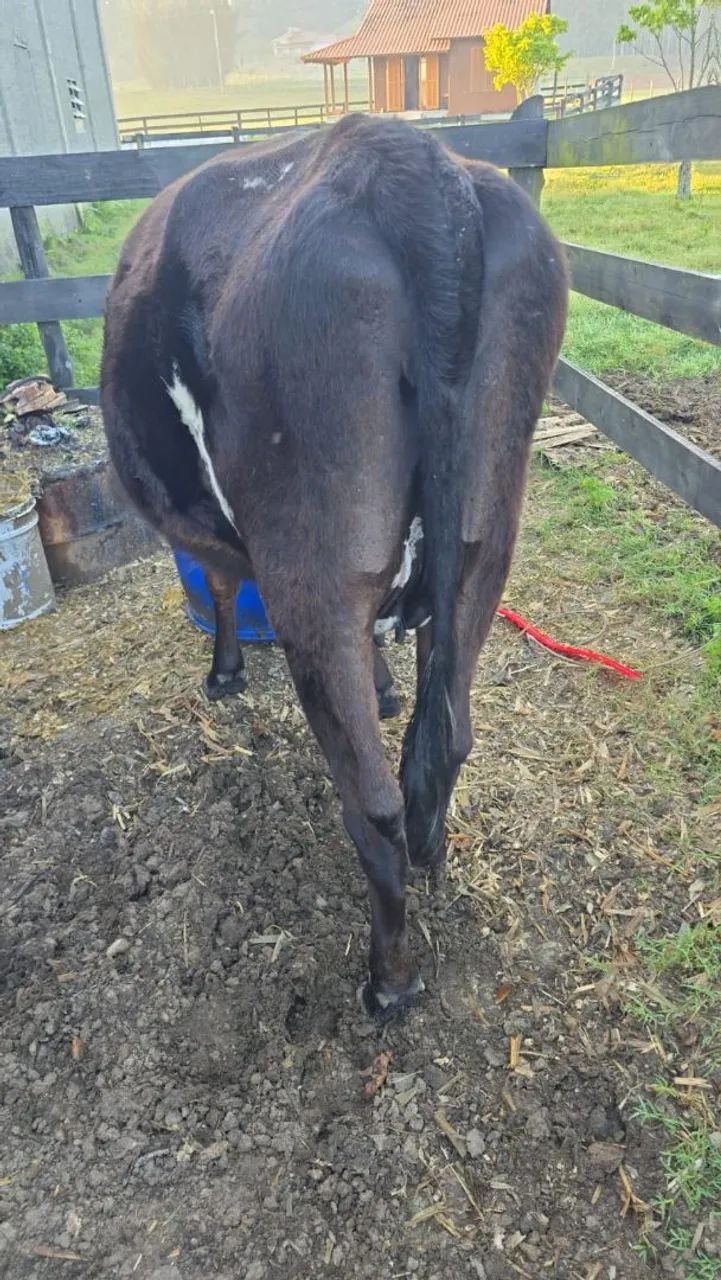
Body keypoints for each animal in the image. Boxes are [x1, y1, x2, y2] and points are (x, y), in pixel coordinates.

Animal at [101, 114, 568, 1018]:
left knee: (373, 803)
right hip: (484, 544)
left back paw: (389, 980)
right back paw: (433, 862)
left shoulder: (222, 540)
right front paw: (384, 689)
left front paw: (224, 672)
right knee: (443, 747)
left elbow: (220, 582)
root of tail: (404, 160)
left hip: (313, 571)